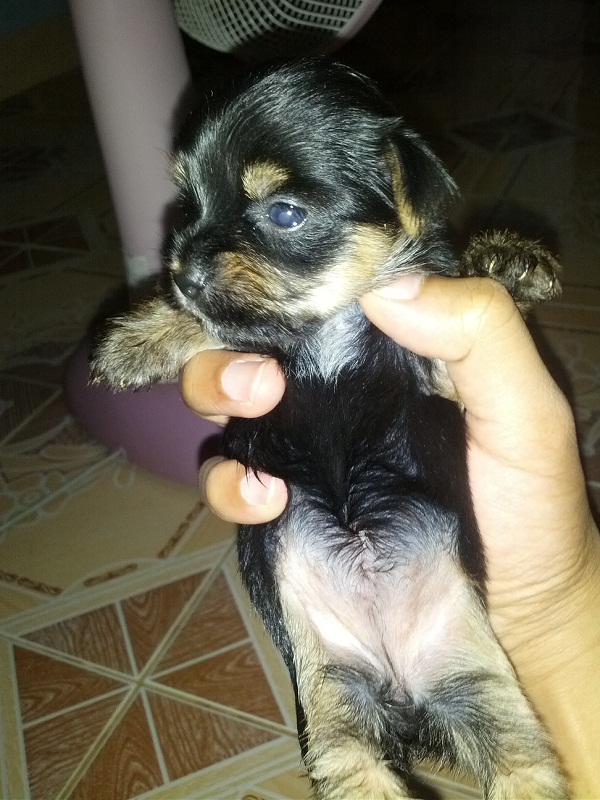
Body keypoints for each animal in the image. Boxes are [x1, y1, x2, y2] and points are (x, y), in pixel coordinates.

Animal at [91, 60, 569, 798]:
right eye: (189, 206)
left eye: (284, 213)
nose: (183, 270)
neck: (332, 330)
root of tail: (404, 698)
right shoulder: (260, 348)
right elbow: (222, 325)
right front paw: (140, 339)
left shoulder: (431, 361)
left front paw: (509, 260)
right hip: (337, 703)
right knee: (359, 765)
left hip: (478, 689)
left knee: (521, 766)